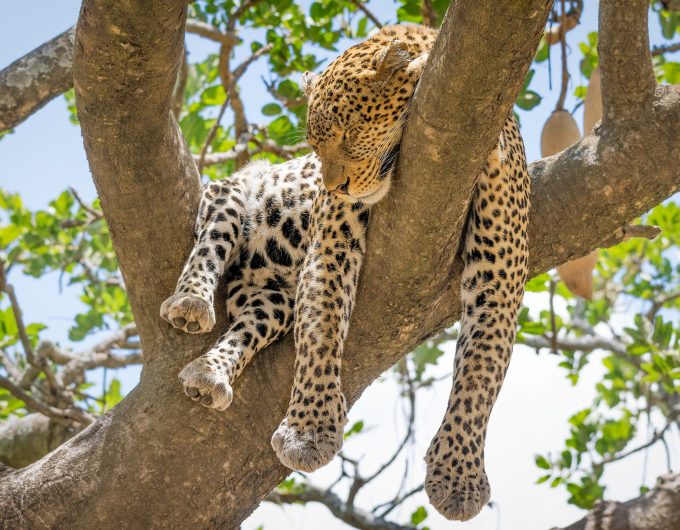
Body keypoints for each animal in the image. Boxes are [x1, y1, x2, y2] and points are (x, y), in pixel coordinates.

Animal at [160, 23, 529, 523]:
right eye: (316, 145)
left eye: (350, 133)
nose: (332, 185)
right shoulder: (330, 239)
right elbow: (323, 323)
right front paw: (309, 431)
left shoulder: (500, 270)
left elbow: (481, 370)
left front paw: (458, 474)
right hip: (236, 191)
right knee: (213, 238)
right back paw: (191, 304)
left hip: (273, 300)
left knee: (250, 323)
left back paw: (210, 373)